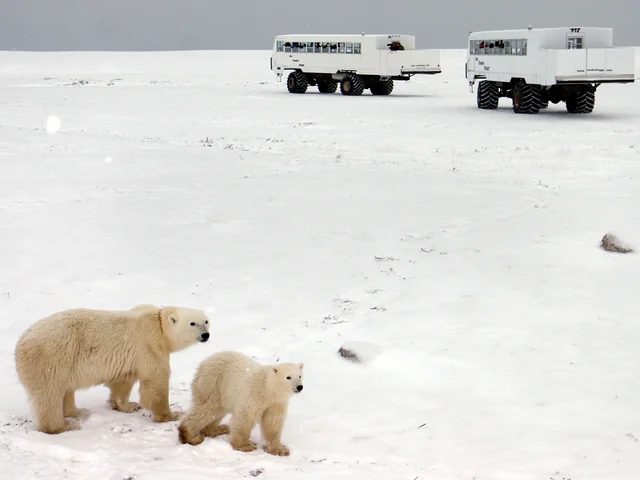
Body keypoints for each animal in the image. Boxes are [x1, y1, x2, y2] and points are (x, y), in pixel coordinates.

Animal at [14, 304, 211, 434]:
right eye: (192, 323)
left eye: (206, 321)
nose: (205, 335)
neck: (159, 323)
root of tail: (21, 344)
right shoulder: (150, 345)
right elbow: (155, 383)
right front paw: (172, 415)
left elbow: (122, 381)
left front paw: (128, 405)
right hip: (53, 357)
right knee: (50, 395)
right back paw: (64, 426)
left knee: (65, 391)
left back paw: (78, 412)